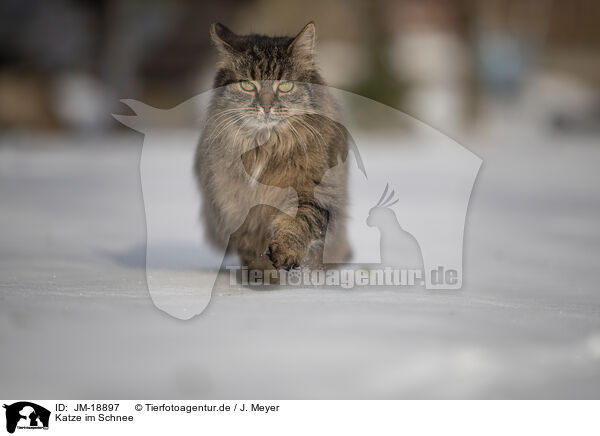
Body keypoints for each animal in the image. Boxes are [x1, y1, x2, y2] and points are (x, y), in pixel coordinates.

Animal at [195, 22, 350, 274]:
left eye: (285, 86)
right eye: (247, 85)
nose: (266, 106)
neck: (267, 146)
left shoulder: (313, 191)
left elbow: (299, 222)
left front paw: (285, 252)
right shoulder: (237, 209)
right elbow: (251, 249)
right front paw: (262, 273)